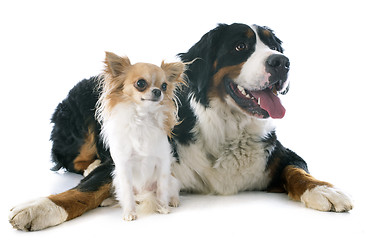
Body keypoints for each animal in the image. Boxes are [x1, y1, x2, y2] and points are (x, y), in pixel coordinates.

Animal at [96, 52, 184, 221]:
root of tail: (145, 192)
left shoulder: (163, 163)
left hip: (172, 179)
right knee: (124, 195)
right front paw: (129, 213)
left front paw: (163, 207)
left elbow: (162, 189)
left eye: (164, 86)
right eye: (141, 83)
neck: (143, 118)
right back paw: (109, 201)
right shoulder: (124, 166)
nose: (158, 91)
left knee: (172, 189)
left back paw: (174, 201)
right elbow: (127, 193)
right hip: (116, 180)